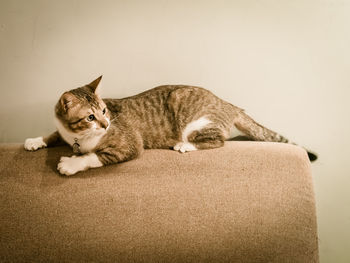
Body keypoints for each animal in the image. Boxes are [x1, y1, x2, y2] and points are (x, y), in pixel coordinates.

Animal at [22, 76, 318, 175]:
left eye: (104, 111)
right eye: (90, 117)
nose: (106, 125)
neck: (79, 138)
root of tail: (229, 104)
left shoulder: (129, 145)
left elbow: (95, 156)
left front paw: (72, 163)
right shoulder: (63, 132)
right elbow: (53, 134)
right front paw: (36, 140)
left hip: (191, 116)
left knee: (217, 140)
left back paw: (184, 146)